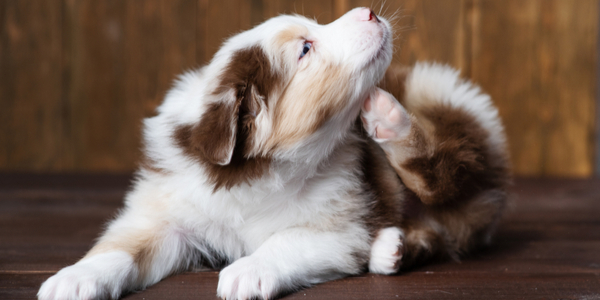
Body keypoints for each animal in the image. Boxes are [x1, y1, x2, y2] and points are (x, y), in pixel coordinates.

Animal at [37, 7, 508, 300]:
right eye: (305, 48)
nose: (369, 12)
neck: (256, 174)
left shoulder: (339, 226)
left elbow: (284, 239)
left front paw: (247, 271)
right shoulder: (168, 211)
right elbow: (120, 246)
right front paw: (73, 278)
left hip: (441, 109)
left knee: (446, 170)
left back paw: (387, 116)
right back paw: (390, 247)